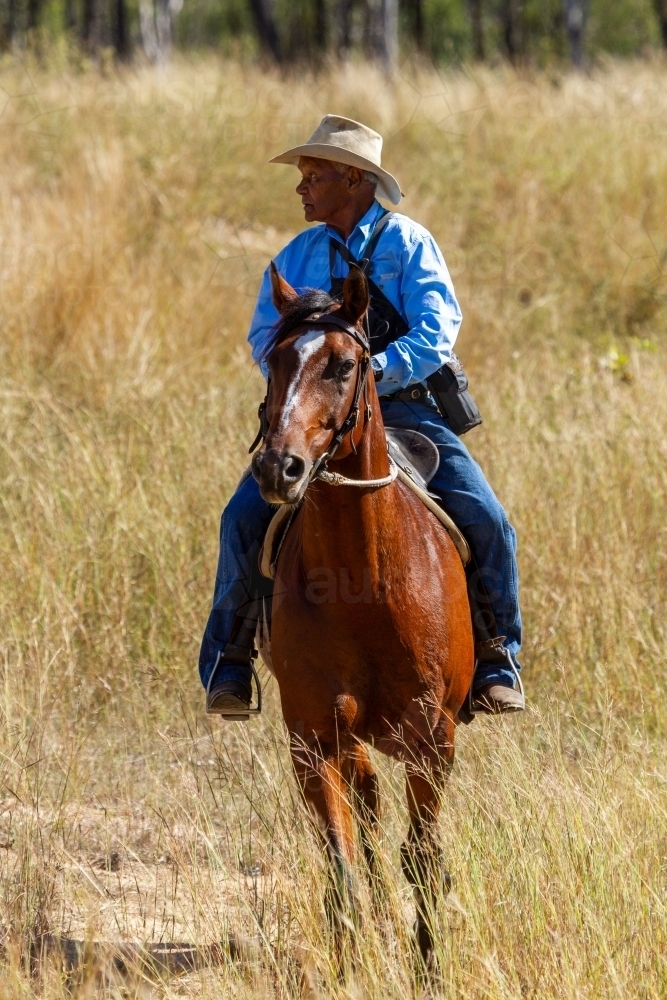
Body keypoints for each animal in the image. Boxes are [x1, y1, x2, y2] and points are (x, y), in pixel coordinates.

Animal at [250, 262, 474, 972]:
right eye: (273, 360)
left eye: (345, 364)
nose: (279, 466)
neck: (364, 581)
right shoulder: (313, 737)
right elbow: (342, 863)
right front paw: (354, 958)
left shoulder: (434, 738)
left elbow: (424, 859)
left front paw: (430, 965)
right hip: (351, 740)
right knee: (368, 818)